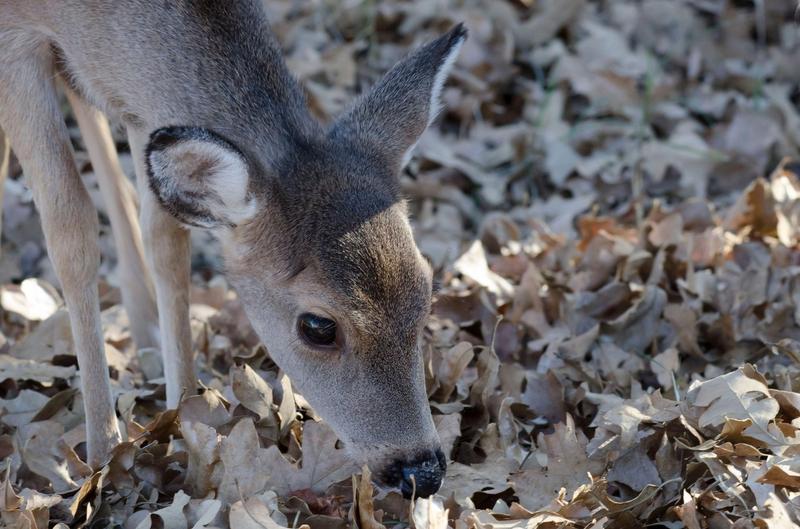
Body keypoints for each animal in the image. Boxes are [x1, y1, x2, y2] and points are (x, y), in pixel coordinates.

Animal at [0, 0, 466, 498]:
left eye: (428, 293)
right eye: (318, 326)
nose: (422, 470)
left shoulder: (142, 105)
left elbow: (166, 238)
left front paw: (183, 414)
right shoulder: (17, 40)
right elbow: (71, 226)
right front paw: (104, 451)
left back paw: (145, 332)